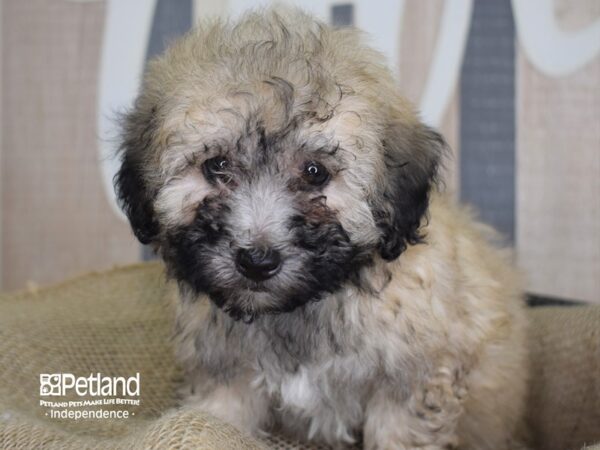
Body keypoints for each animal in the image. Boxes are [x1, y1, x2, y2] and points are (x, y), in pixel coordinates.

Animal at [115, 7, 528, 450]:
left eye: (315, 173)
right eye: (217, 165)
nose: (257, 261)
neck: (306, 304)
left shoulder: (410, 383)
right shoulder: (224, 375)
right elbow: (213, 423)